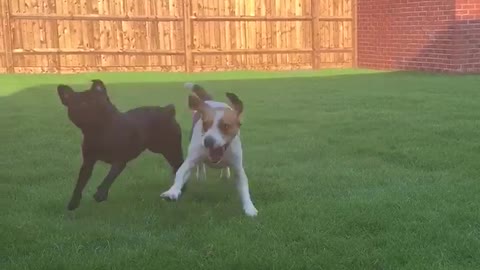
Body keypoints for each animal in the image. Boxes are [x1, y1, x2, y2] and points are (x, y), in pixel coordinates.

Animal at [160, 82, 258, 217]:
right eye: (205, 124)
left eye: (225, 126)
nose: (208, 141)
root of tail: (208, 101)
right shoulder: (191, 159)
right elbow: (181, 172)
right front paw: (173, 191)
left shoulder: (238, 167)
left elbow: (244, 185)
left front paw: (249, 208)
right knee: (200, 165)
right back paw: (201, 175)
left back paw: (225, 173)